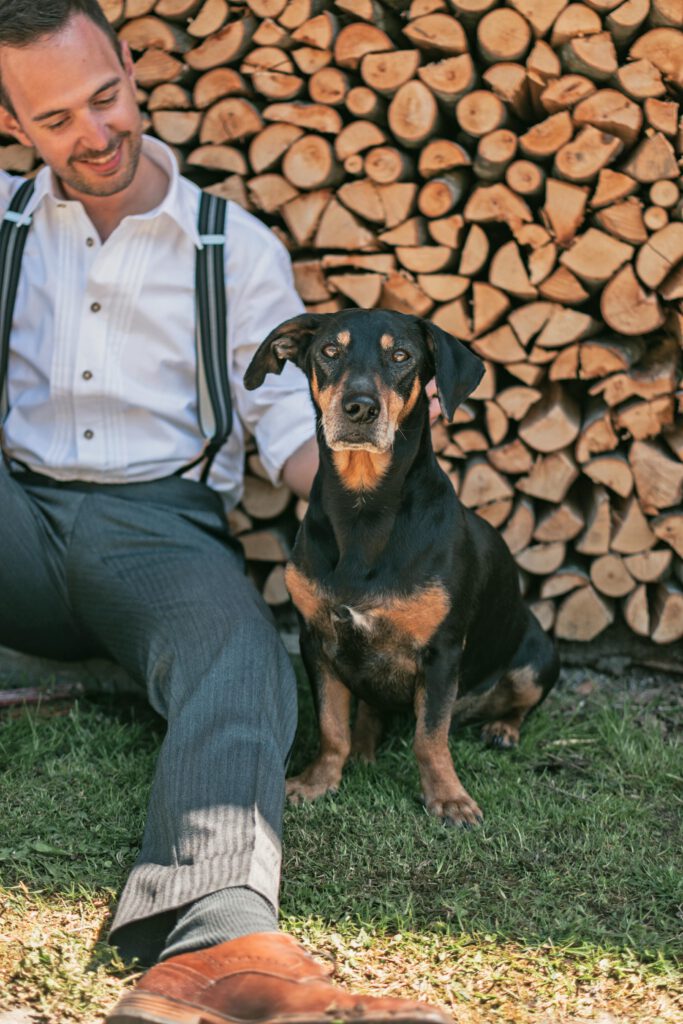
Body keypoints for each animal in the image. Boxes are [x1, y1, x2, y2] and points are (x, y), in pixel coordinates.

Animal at [245, 309, 559, 827]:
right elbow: (332, 726)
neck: (364, 509)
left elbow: (429, 737)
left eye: (401, 356)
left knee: (520, 701)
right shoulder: (316, 639)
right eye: (329, 350)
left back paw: (503, 728)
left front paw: (448, 799)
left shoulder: (443, 651)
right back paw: (365, 749)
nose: (359, 408)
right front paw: (318, 781)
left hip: (538, 655)